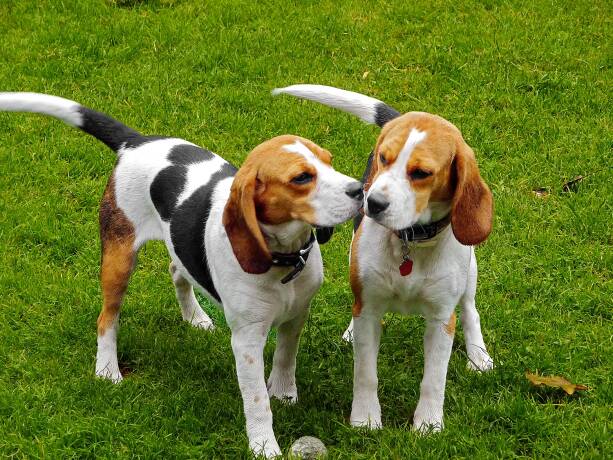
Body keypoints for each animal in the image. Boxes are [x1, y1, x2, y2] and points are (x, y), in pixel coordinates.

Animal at [0, 92, 364, 456]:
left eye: (329, 161)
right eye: (301, 178)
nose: (360, 189)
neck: (284, 259)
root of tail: (135, 141)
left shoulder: (296, 316)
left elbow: (286, 361)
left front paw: (285, 394)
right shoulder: (246, 339)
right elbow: (256, 400)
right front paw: (264, 446)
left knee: (177, 268)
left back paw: (195, 317)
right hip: (119, 257)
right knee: (107, 318)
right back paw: (107, 369)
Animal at [274, 84, 494, 434]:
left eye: (421, 173)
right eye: (383, 158)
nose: (372, 203)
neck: (410, 242)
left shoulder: (440, 319)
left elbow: (434, 380)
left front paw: (428, 424)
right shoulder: (370, 309)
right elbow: (366, 373)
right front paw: (365, 419)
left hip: (469, 269)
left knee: (471, 310)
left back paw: (478, 355)